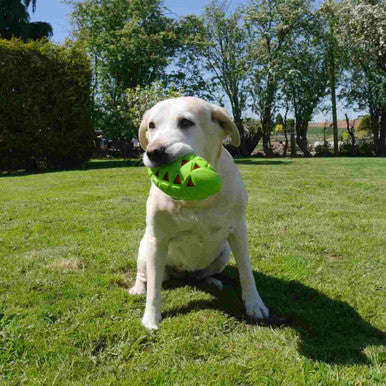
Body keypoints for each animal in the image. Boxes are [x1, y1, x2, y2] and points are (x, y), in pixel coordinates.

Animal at [130, 96, 268, 328]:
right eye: (151, 125)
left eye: (186, 122)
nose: (154, 152)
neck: (196, 199)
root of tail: (183, 274)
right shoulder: (157, 240)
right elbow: (154, 290)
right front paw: (151, 316)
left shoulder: (238, 232)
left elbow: (247, 272)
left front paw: (254, 303)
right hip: (144, 250)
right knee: (146, 276)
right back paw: (139, 288)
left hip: (223, 253)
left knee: (201, 275)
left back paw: (211, 280)